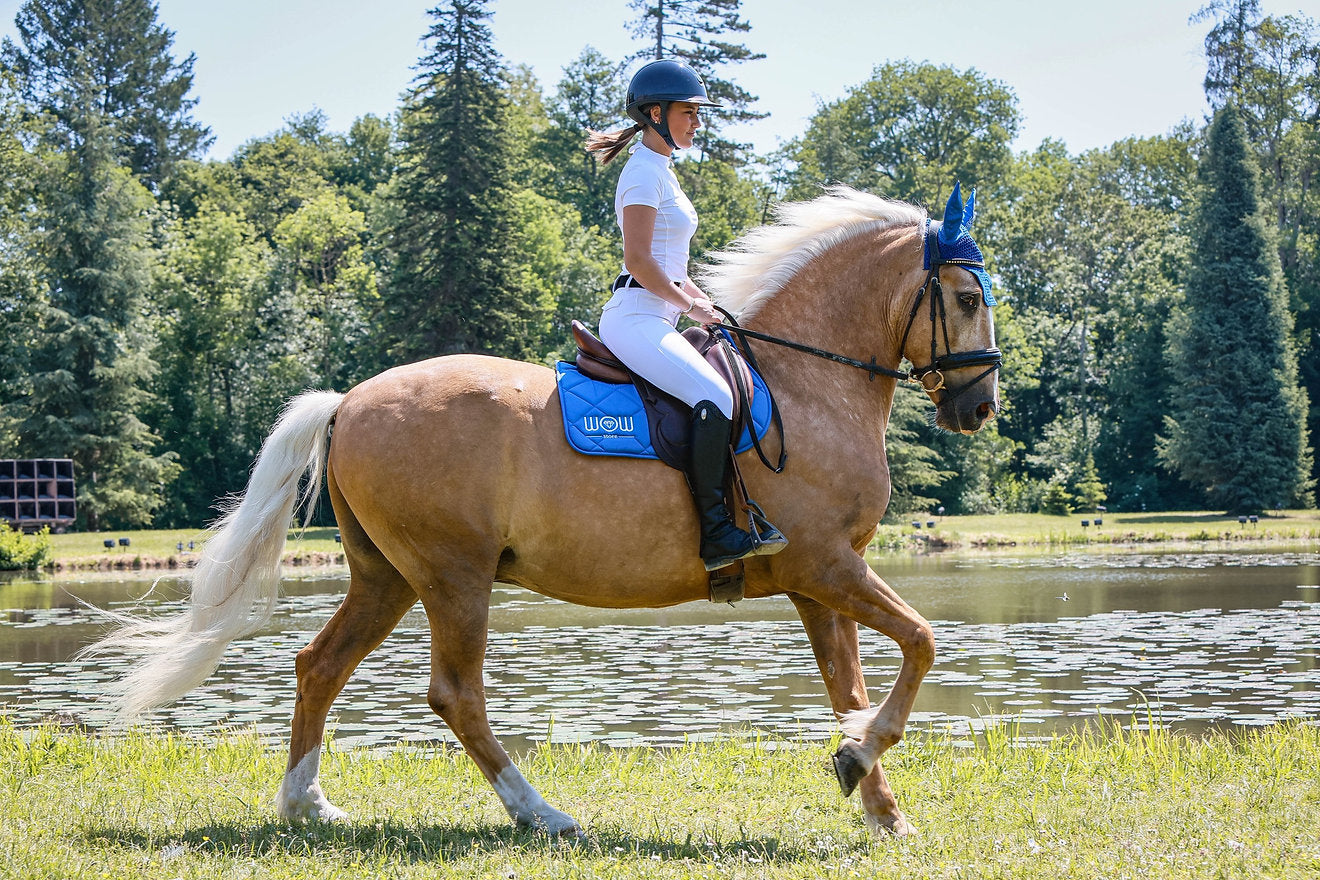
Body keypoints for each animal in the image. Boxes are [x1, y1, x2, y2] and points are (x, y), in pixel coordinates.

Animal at [85, 184, 1000, 839]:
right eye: (963, 297)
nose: (979, 405)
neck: (806, 383)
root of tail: (348, 401)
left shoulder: (816, 583)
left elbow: (850, 682)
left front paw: (873, 791)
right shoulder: (828, 564)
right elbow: (922, 641)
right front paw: (862, 760)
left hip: (387, 577)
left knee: (320, 665)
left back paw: (305, 806)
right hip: (453, 578)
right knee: (456, 695)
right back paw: (543, 814)